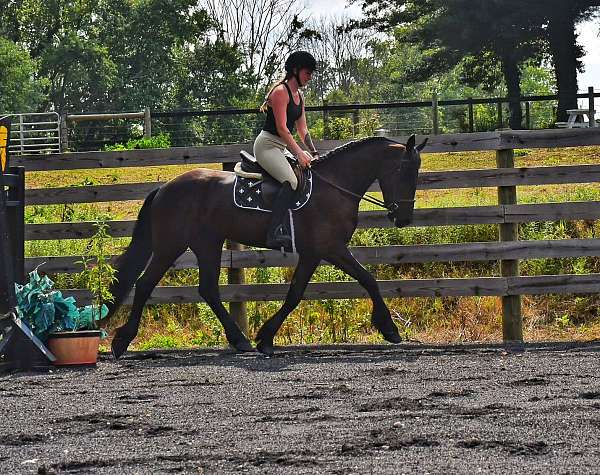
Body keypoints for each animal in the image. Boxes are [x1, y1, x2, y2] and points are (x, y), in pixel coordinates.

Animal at [108, 134, 426, 356]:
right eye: (404, 172)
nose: (404, 218)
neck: (334, 186)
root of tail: (166, 187)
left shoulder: (314, 253)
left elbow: (298, 292)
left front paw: (265, 337)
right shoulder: (329, 248)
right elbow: (364, 280)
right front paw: (390, 329)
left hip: (207, 244)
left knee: (208, 289)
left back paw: (239, 340)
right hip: (170, 246)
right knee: (145, 284)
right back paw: (122, 341)